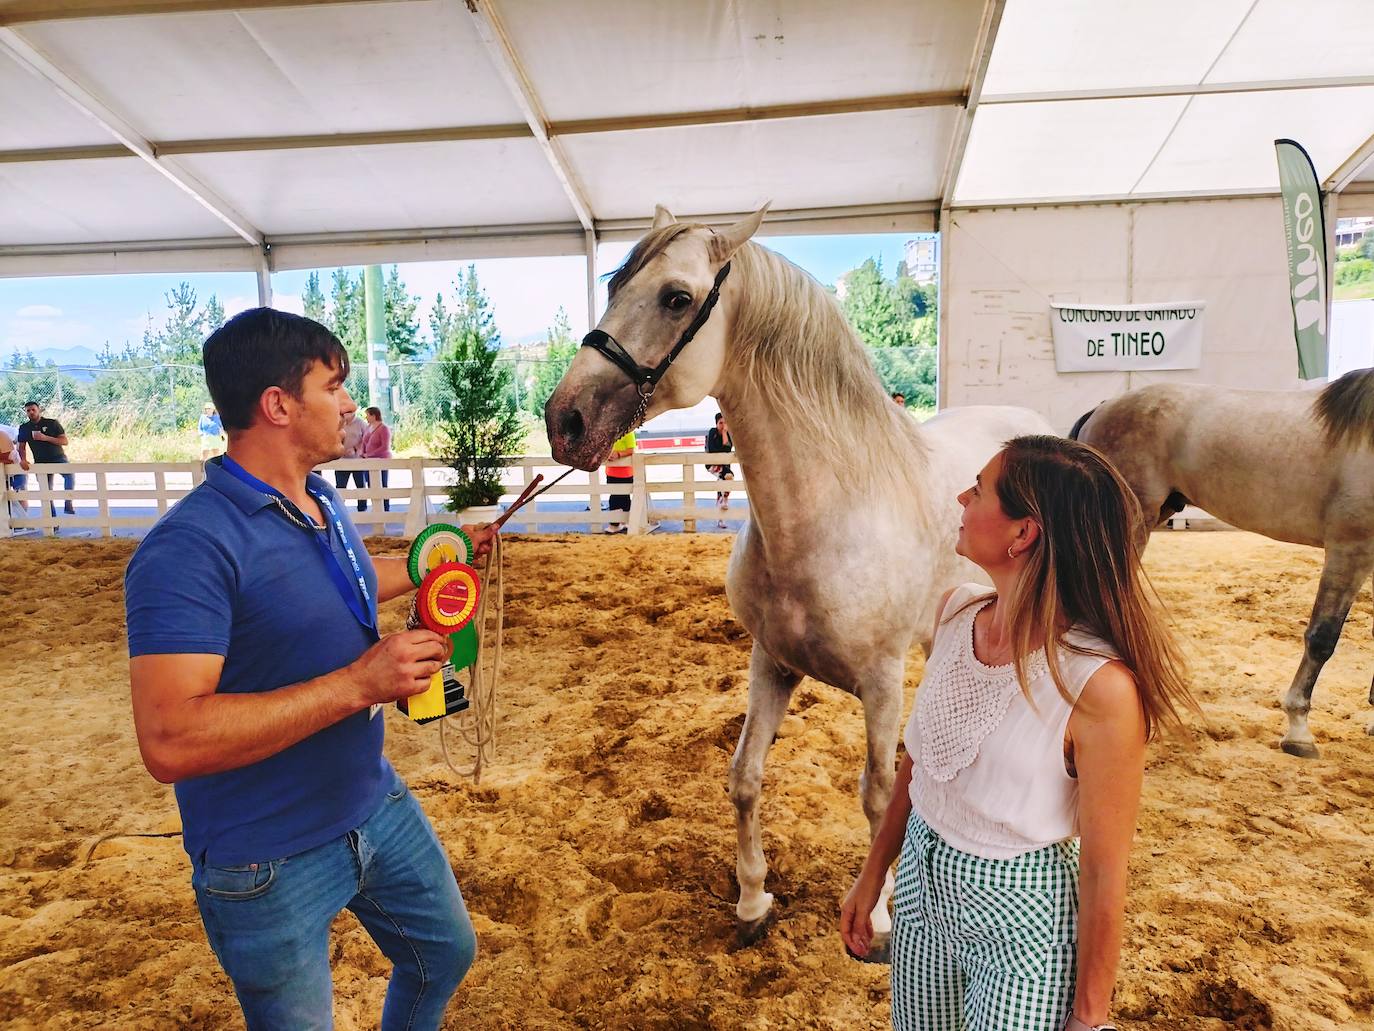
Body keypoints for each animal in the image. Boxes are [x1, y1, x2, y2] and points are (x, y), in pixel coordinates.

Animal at [544, 204, 1054, 950]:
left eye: (676, 298)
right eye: (613, 283)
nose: (565, 419)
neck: (828, 511)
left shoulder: (880, 681)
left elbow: (876, 795)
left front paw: (877, 915)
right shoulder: (772, 663)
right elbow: (745, 776)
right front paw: (753, 898)